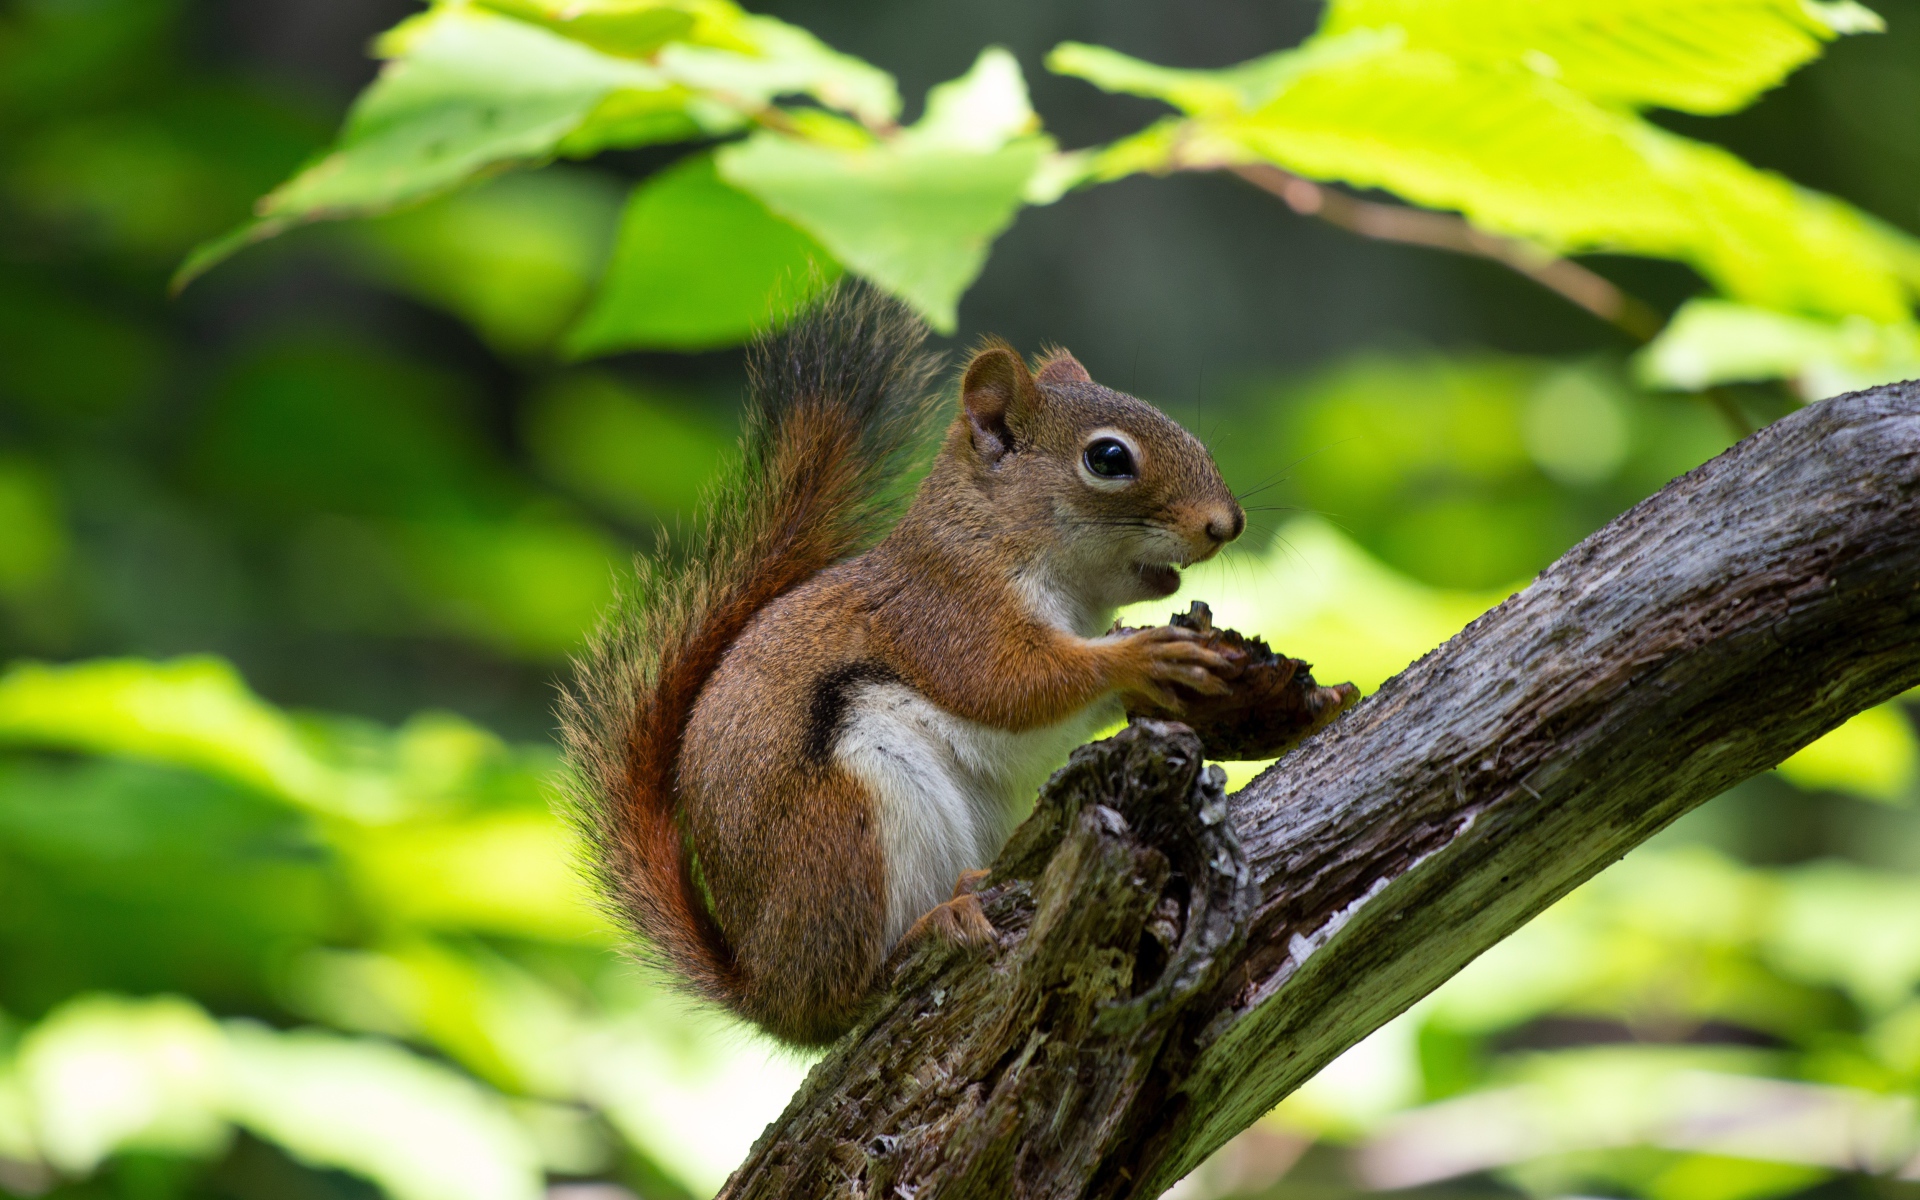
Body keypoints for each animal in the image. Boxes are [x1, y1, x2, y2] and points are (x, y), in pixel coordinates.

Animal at [560, 282, 1244, 1044]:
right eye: (1108, 459)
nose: (1226, 524)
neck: (992, 536)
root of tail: (770, 993)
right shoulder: (946, 615)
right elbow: (1011, 685)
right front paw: (1140, 654)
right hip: (847, 828)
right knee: (852, 987)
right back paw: (933, 924)